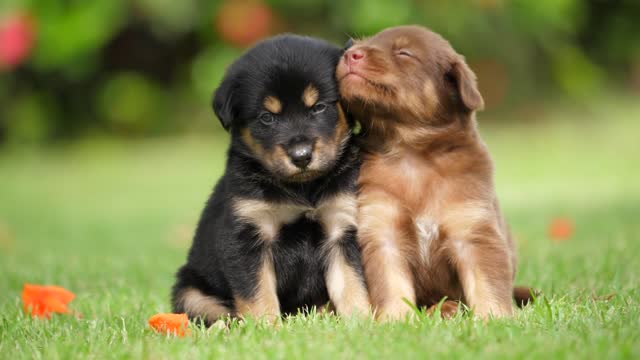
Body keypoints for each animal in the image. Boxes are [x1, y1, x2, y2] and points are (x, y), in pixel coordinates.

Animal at [171, 35, 370, 324]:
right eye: (267, 117)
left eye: (319, 107)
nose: (301, 156)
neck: (303, 188)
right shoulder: (248, 235)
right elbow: (257, 293)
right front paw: (265, 326)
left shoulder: (342, 228)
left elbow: (353, 284)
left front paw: (362, 322)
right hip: (190, 291)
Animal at [338, 26, 524, 320]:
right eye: (357, 44)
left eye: (404, 52)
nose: (349, 54)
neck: (411, 153)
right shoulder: (383, 230)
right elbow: (392, 284)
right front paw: (395, 319)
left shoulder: (473, 229)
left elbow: (487, 284)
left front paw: (495, 318)